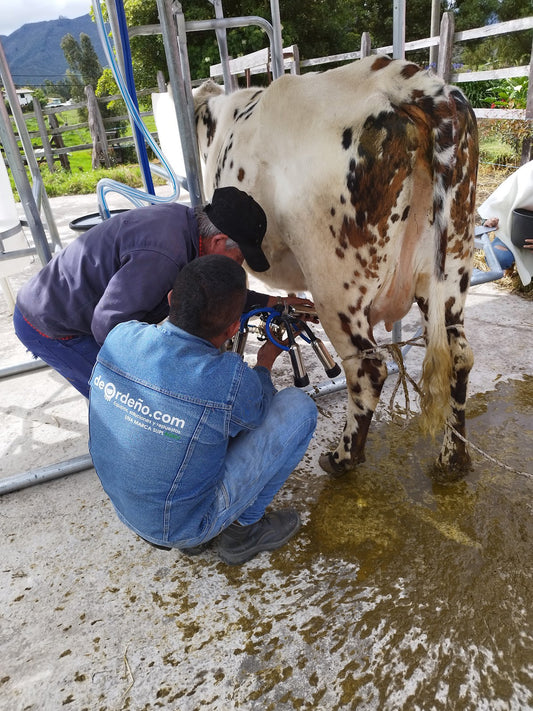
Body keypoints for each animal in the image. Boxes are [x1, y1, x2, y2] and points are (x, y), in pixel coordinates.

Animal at [192, 54, 478, 478]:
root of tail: (413, 84)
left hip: (336, 283)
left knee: (368, 367)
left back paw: (343, 457)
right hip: (451, 262)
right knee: (457, 355)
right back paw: (453, 458)